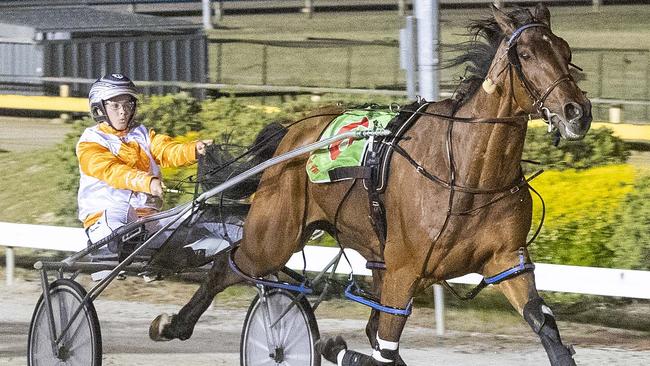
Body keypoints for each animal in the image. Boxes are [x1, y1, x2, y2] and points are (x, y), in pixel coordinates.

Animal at [149, 3, 588, 366]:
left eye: (566, 51)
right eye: (526, 55)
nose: (577, 112)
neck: (466, 172)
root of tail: (292, 134)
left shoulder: (506, 261)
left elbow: (544, 325)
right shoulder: (404, 271)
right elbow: (384, 348)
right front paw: (336, 348)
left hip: (373, 253)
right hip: (275, 236)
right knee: (229, 263)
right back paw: (174, 324)